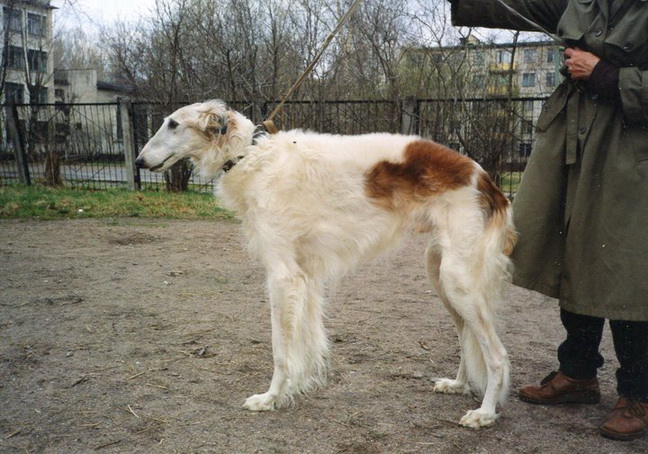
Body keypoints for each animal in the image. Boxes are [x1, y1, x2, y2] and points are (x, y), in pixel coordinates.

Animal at [135, 100, 517, 428]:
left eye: (173, 123)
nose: (138, 162)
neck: (251, 157)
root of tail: (488, 181)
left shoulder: (282, 276)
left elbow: (280, 350)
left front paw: (270, 398)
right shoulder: (304, 276)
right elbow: (303, 342)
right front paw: (294, 388)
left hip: (458, 280)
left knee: (497, 354)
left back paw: (484, 413)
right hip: (440, 275)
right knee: (467, 337)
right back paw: (458, 384)